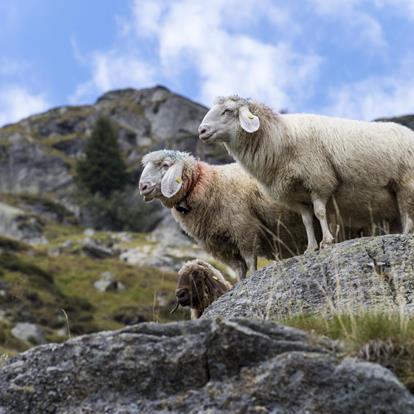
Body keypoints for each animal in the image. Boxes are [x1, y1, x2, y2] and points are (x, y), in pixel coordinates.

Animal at [139, 149, 310, 278]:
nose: (143, 187)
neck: (204, 184)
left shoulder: (244, 229)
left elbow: (250, 261)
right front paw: (240, 283)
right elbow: (239, 268)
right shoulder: (221, 245)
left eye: (165, 165)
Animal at [198, 96, 414, 251]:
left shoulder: (318, 180)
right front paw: (310, 248)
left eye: (228, 111)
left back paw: (405, 235)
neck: (279, 136)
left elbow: (320, 212)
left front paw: (326, 242)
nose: (201, 130)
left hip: (406, 184)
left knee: (407, 215)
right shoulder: (296, 196)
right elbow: (308, 221)